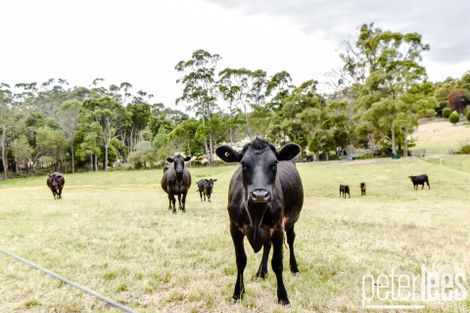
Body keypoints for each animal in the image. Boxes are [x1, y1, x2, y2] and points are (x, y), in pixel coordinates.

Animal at [215, 138, 302, 304]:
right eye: (243, 164)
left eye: (274, 163)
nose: (260, 195)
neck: (255, 214)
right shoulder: (234, 228)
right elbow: (240, 260)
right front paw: (238, 293)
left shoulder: (278, 228)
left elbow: (277, 263)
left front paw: (283, 296)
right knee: (267, 246)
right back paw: (261, 272)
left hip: (292, 220)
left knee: (291, 239)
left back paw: (294, 268)